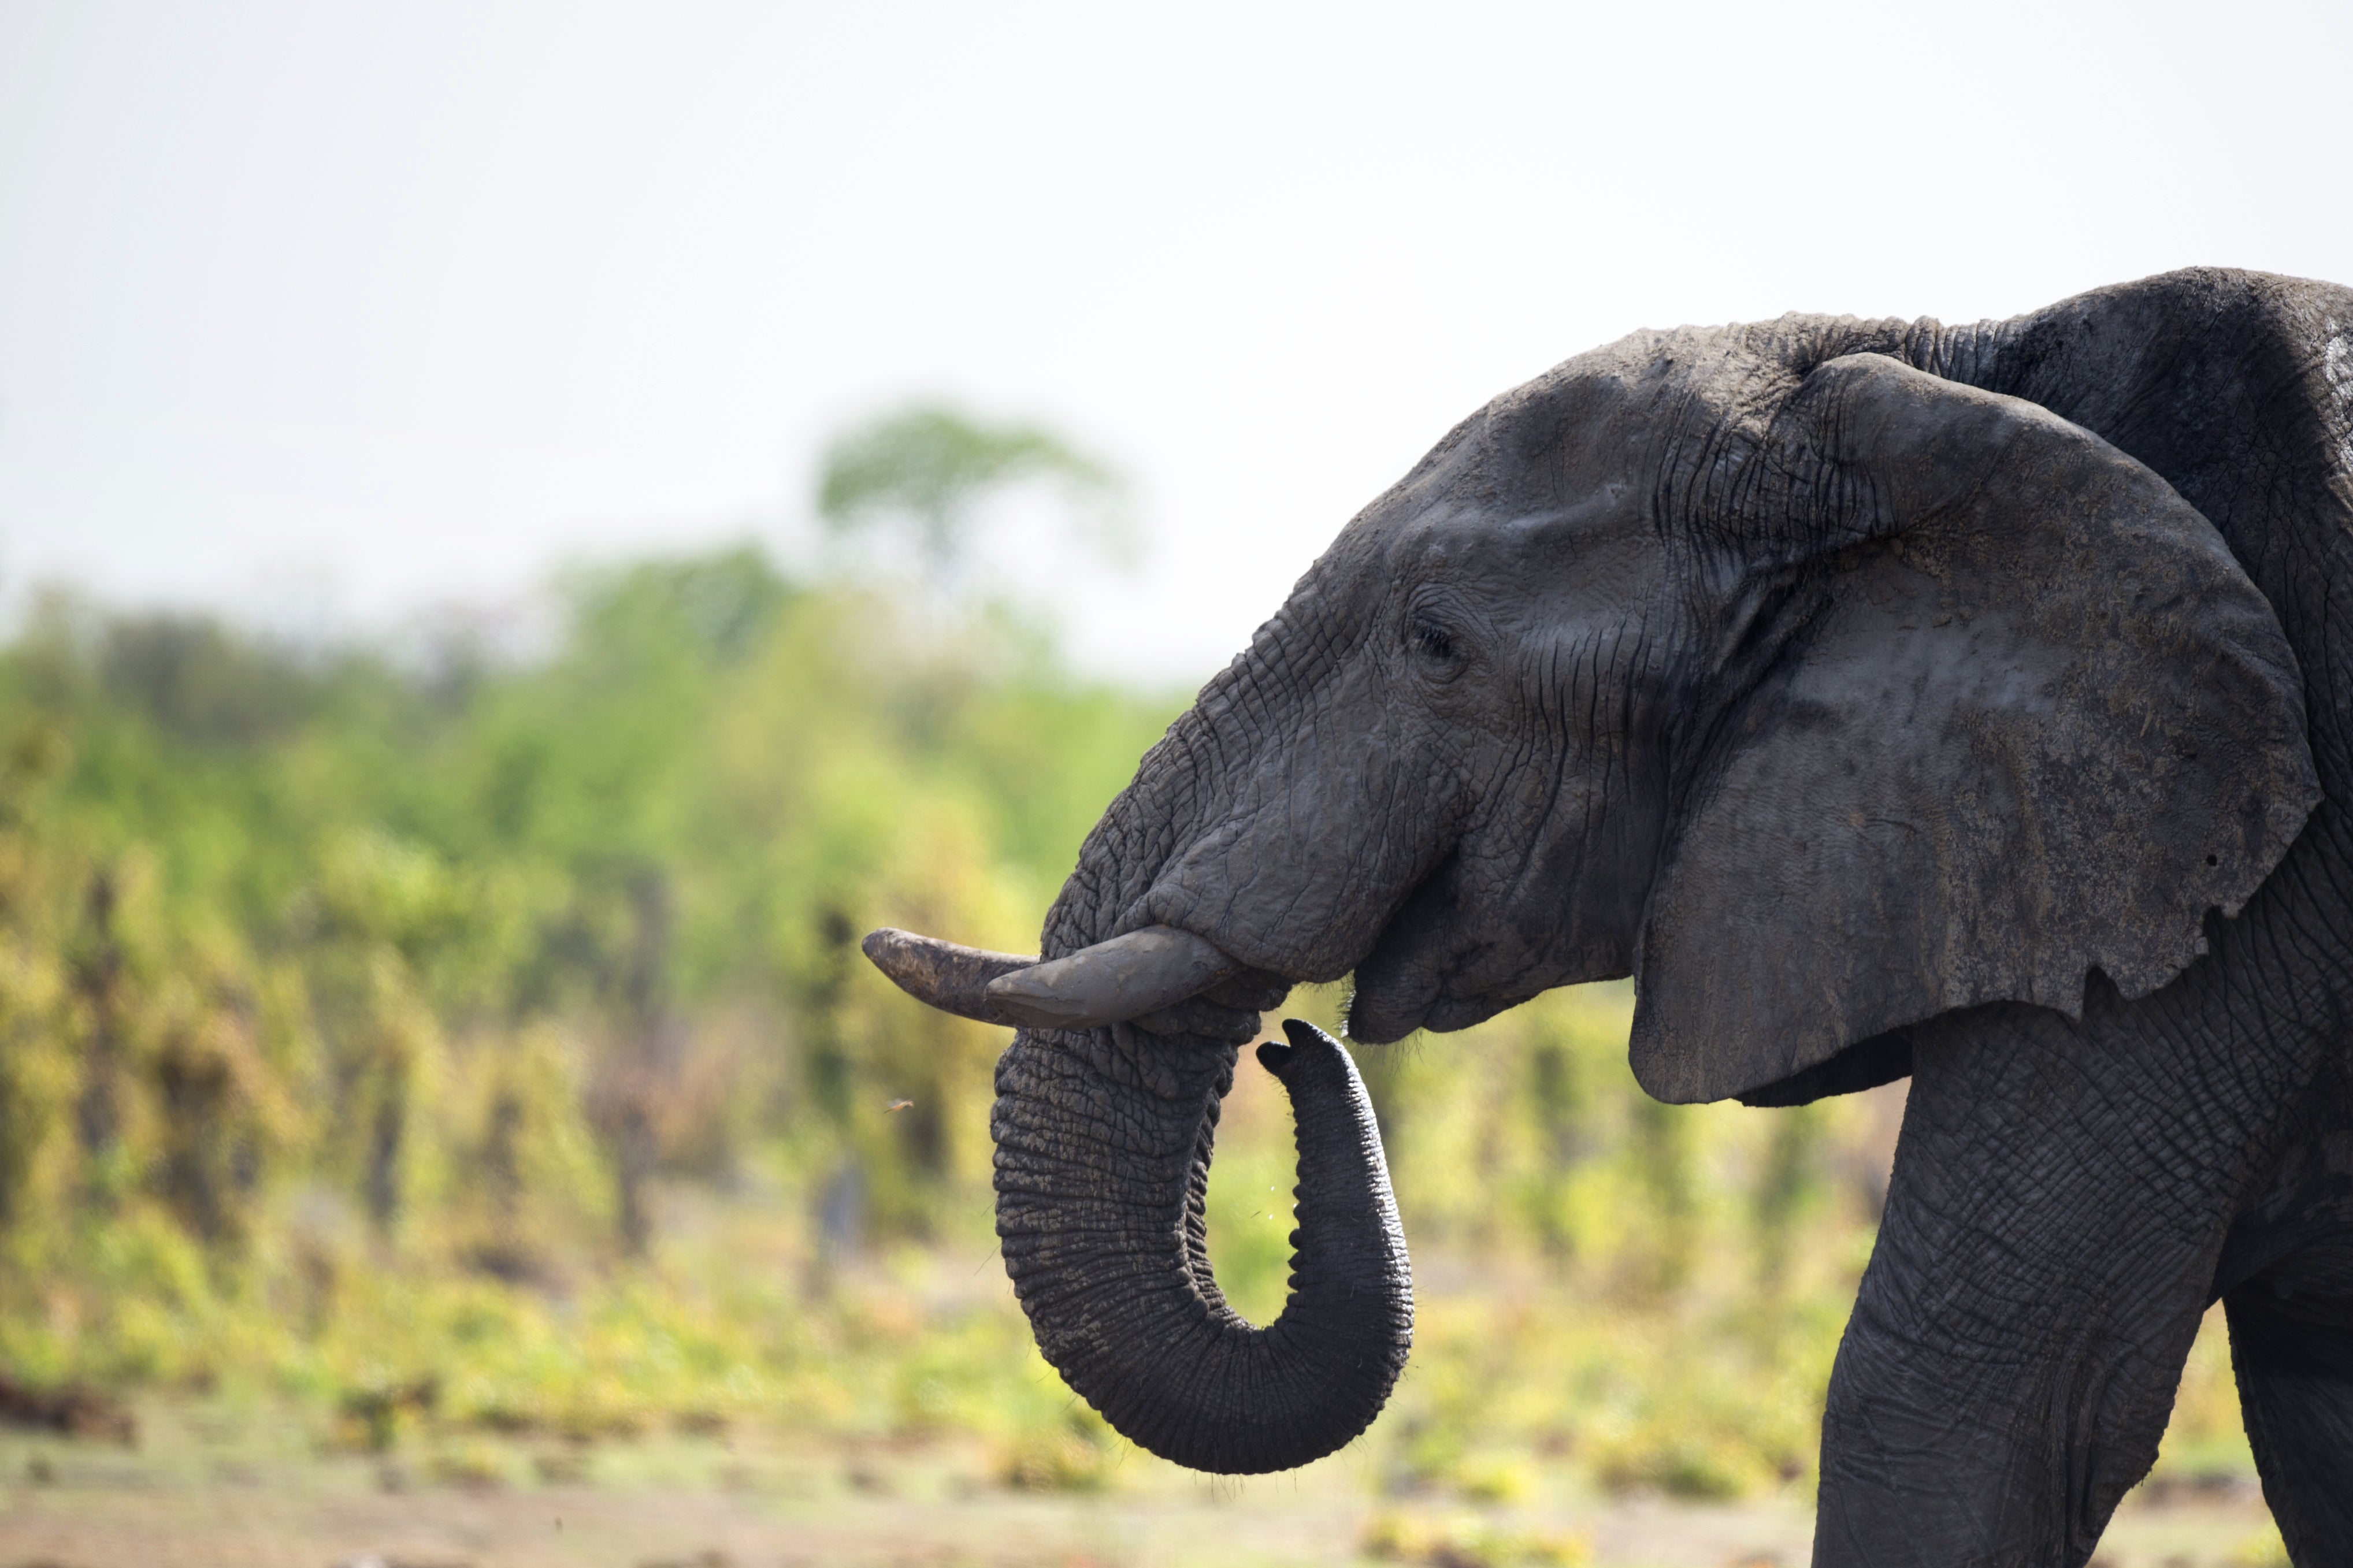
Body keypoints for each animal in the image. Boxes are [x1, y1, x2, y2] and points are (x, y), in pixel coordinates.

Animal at [866, 270, 2353, 1568]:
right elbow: (2300, 1412)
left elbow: (1975, 1390)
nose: (1297, 1046)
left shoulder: (2218, 872)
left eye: (1435, 643)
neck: (1940, 376)